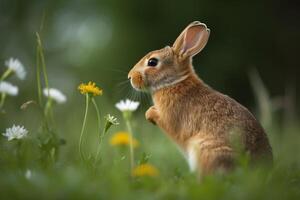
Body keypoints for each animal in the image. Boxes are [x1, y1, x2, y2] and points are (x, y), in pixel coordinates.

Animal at [126, 21, 272, 176]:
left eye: (152, 62)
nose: (130, 76)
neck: (174, 82)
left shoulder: (171, 117)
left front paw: (149, 113)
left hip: (206, 151)